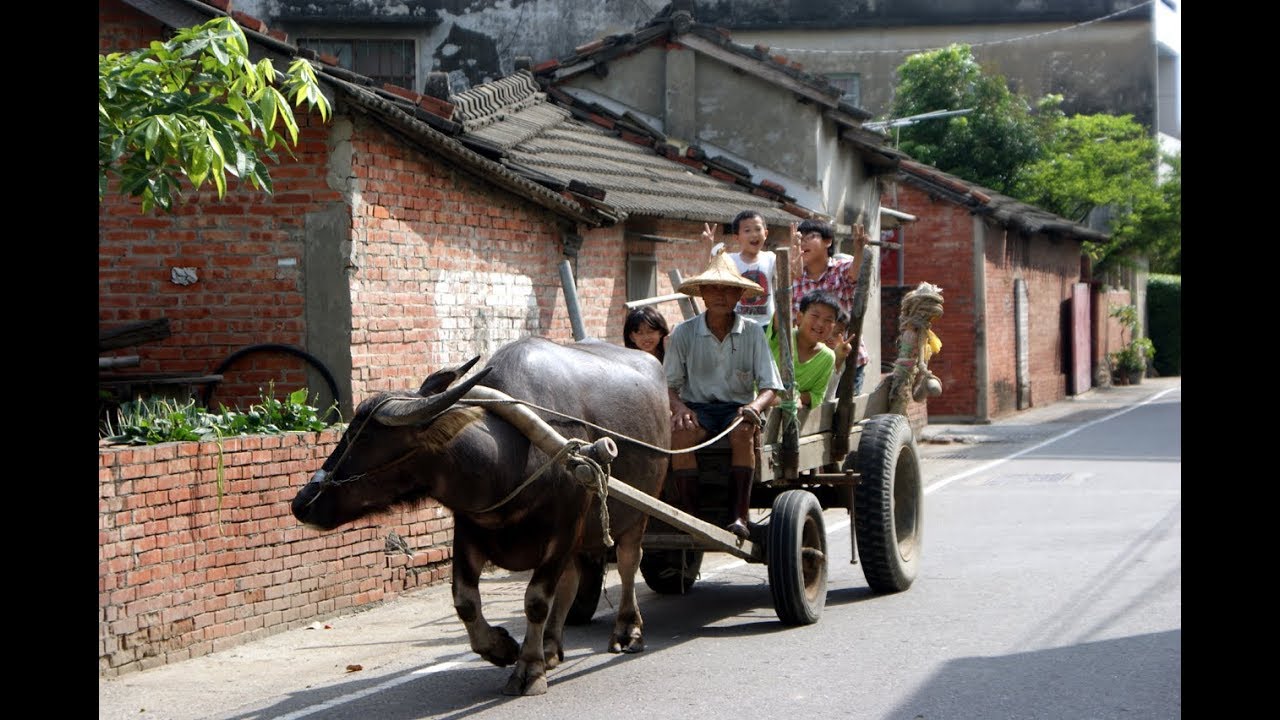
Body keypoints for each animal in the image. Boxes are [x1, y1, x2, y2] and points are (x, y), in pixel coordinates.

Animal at [291, 333, 670, 691]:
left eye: (363, 436)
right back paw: (550, 647)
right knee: (572, 579)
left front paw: (528, 669)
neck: (511, 459)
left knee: (627, 563)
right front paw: (501, 648)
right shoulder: (469, 530)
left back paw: (627, 632)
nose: (301, 502)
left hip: (638, 514)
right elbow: (465, 600)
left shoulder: (562, 532)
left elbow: (535, 600)